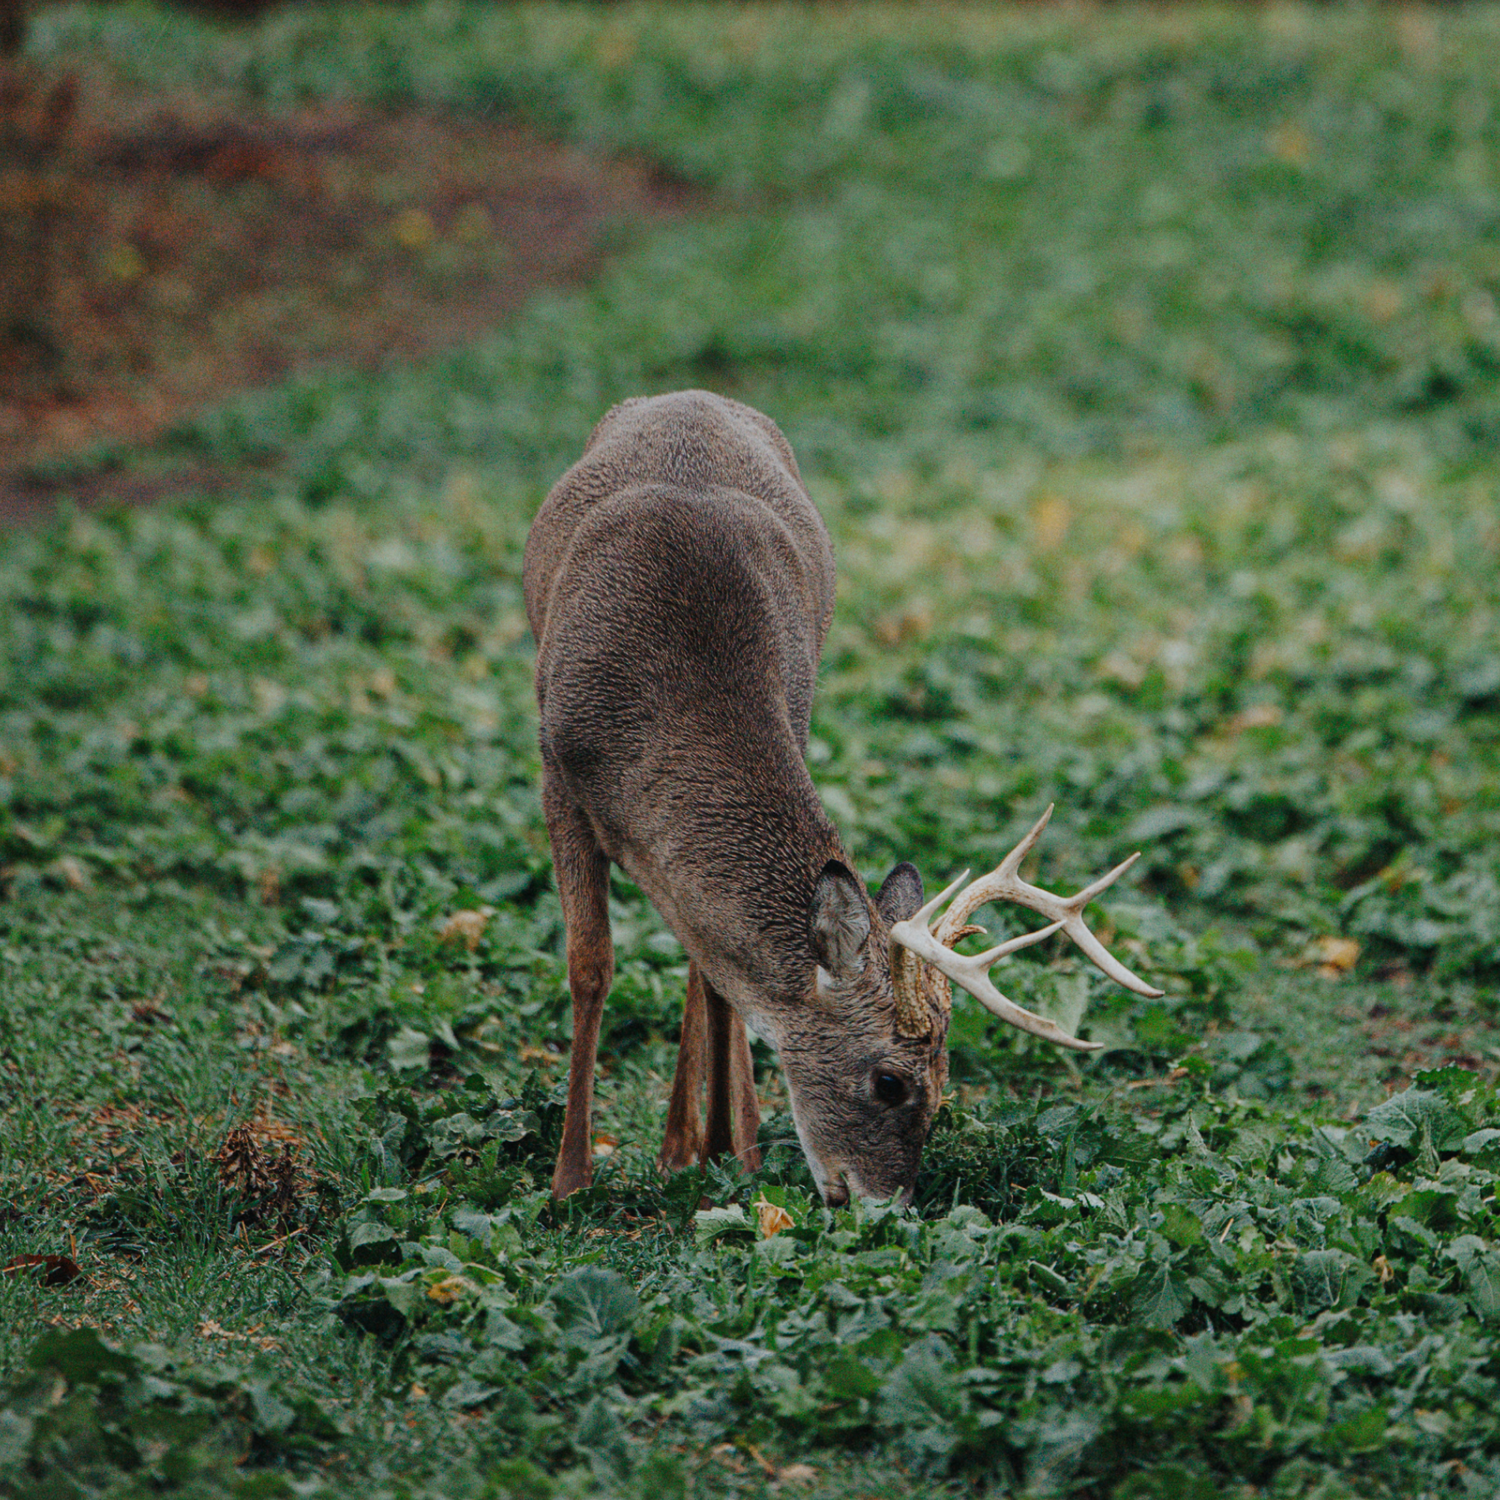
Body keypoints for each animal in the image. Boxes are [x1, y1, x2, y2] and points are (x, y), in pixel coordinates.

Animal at [522, 390, 1162, 1207]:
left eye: (946, 1084)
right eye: (890, 1081)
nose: (888, 1206)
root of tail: (690, 395)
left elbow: (713, 973)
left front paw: (728, 1147)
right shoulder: (557, 770)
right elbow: (590, 966)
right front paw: (569, 1180)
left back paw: (692, 1145)